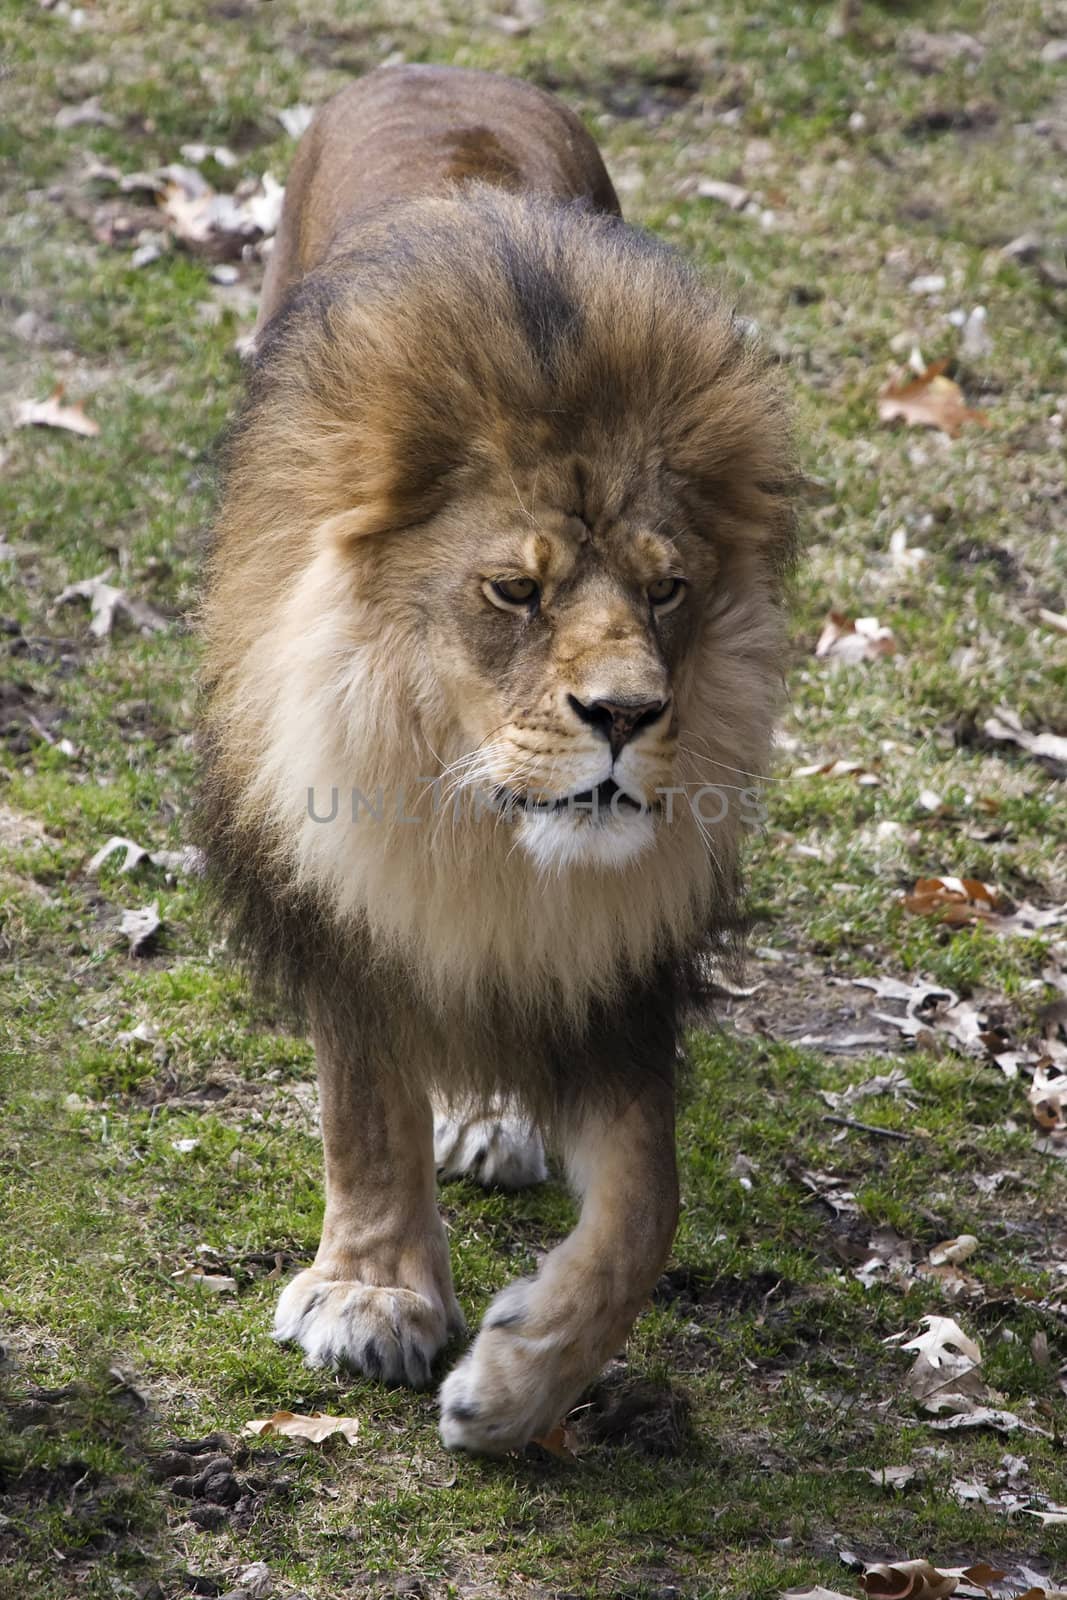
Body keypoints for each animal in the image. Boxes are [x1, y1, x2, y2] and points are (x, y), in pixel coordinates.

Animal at [198, 68, 793, 1459]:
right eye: (513, 590)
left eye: (666, 588)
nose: (626, 712)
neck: (477, 827)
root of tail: (435, 71)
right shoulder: (344, 890)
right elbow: (366, 1103)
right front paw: (371, 1297)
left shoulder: (619, 968)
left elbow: (644, 1206)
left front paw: (519, 1381)